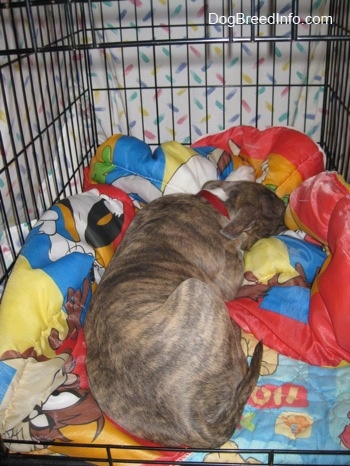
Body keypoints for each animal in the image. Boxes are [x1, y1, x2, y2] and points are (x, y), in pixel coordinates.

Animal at [84, 167, 284, 448]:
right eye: (274, 212)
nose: (287, 212)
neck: (216, 203)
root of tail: (193, 421)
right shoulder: (228, 278)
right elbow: (238, 277)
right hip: (196, 289)